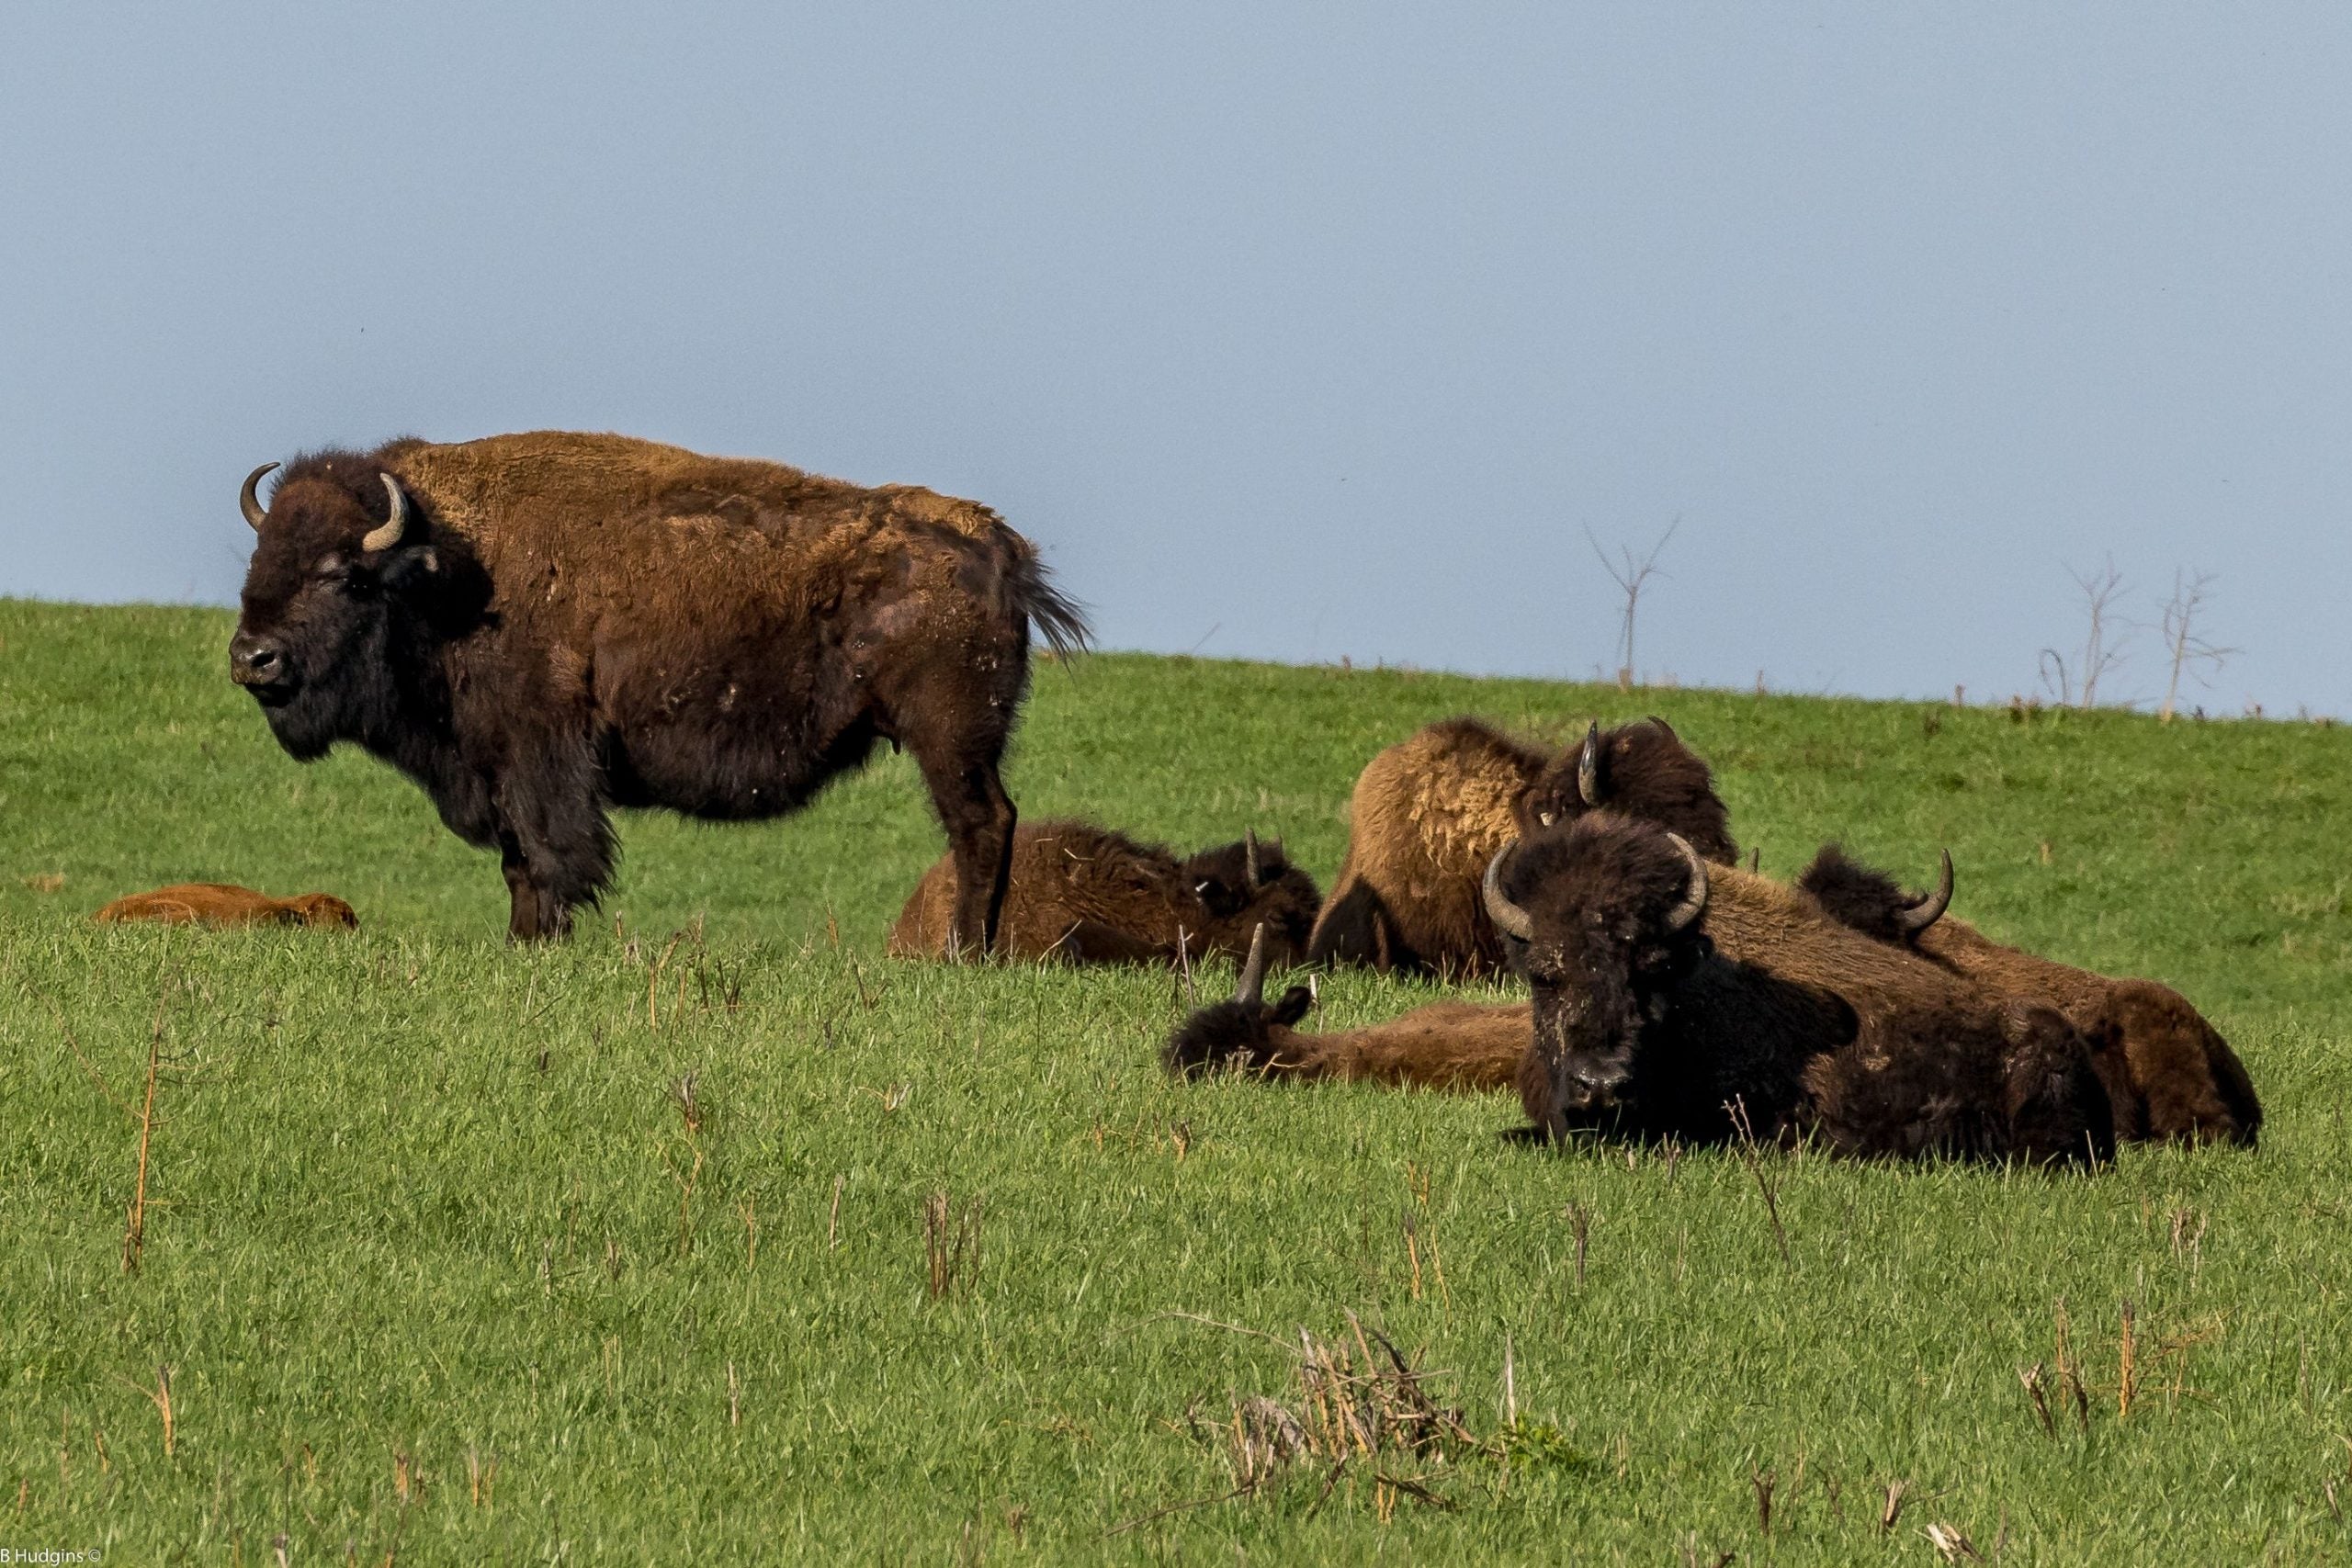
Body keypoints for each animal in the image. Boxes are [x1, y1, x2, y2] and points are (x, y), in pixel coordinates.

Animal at [229, 432, 1085, 946]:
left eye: (342, 574)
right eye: (259, 562)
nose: (252, 659)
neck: (442, 567)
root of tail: (996, 544)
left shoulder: (540, 759)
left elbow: (551, 857)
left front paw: (539, 942)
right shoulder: (494, 766)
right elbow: (517, 862)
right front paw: (520, 941)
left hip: (949, 739)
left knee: (981, 825)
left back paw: (966, 953)